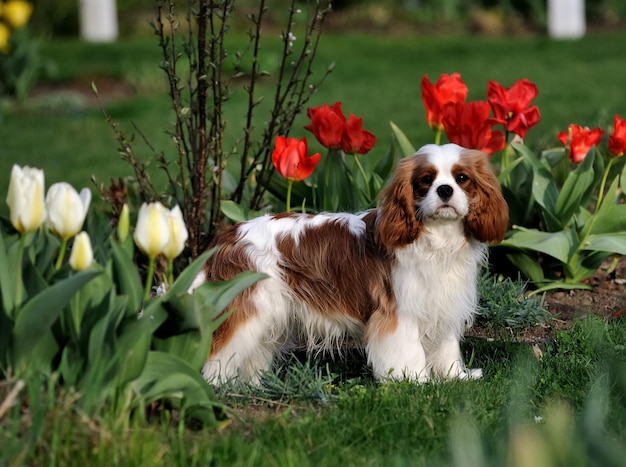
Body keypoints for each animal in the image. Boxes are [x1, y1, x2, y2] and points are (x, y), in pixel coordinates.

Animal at [189, 143, 508, 384]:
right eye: (426, 181)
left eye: (462, 178)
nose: (444, 190)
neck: (438, 238)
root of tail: (228, 235)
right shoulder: (399, 311)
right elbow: (409, 351)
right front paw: (416, 381)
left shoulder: (442, 303)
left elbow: (446, 346)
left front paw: (455, 377)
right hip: (248, 310)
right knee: (217, 353)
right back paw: (213, 388)